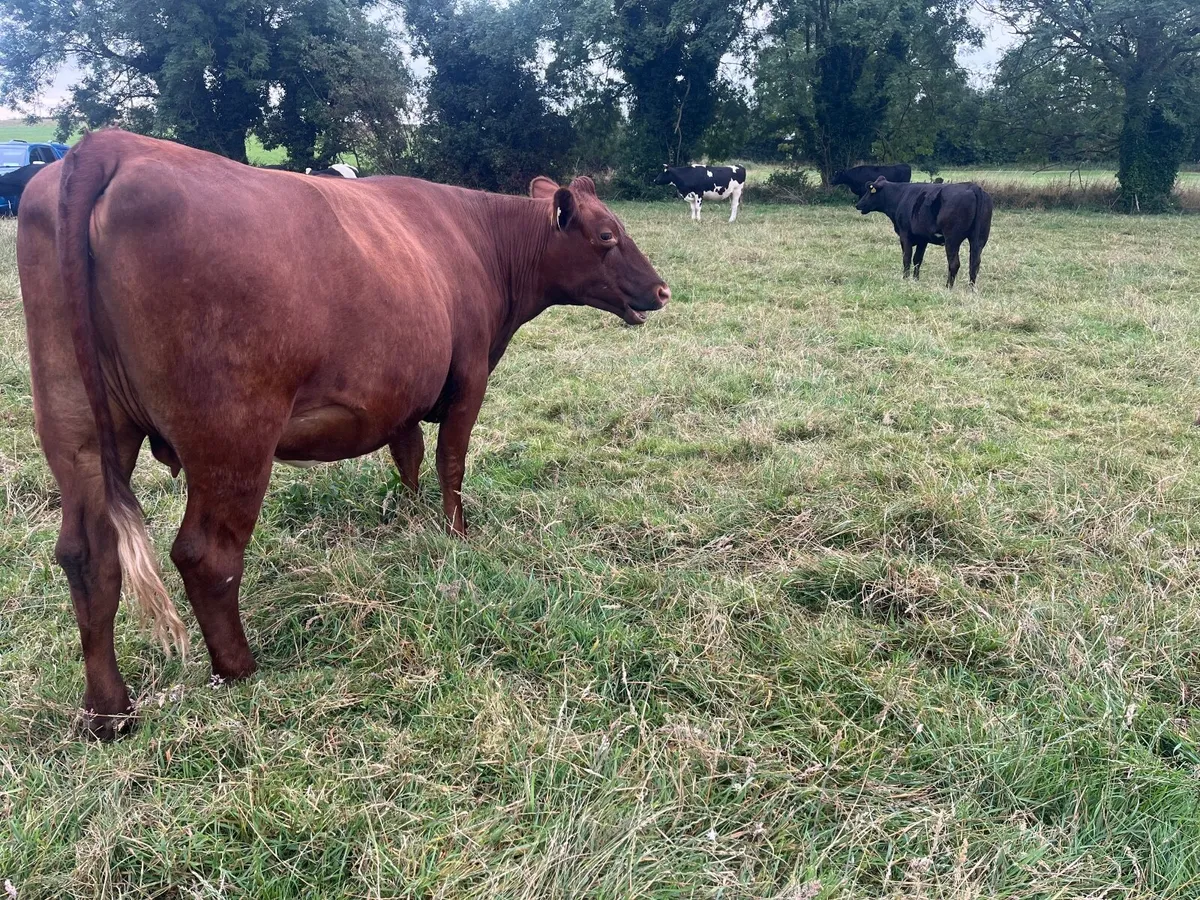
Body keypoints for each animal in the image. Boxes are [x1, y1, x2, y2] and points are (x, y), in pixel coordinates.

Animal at [18, 129, 669, 738]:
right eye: (606, 235)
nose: (662, 289)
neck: (478, 242)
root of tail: (110, 145)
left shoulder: (400, 398)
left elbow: (409, 458)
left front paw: (412, 519)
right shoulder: (469, 379)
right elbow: (451, 462)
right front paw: (457, 532)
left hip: (77, 430)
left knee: (88, 556)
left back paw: (108, 712)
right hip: (232, 437)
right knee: (206, 554)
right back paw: (239, 669)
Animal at [855, 177, 993, 288]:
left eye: (870, 191)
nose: (858, 204)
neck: (900, 195)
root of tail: (973, 187)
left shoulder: (905, 234)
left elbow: (907, 257)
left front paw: (905, 279)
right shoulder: (922, 238)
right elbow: (917, 259)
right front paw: (915, 279)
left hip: (952, 239)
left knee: (954, 263)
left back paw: (948, 287)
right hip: (979, 239)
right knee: (974, 263)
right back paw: (971, 288)